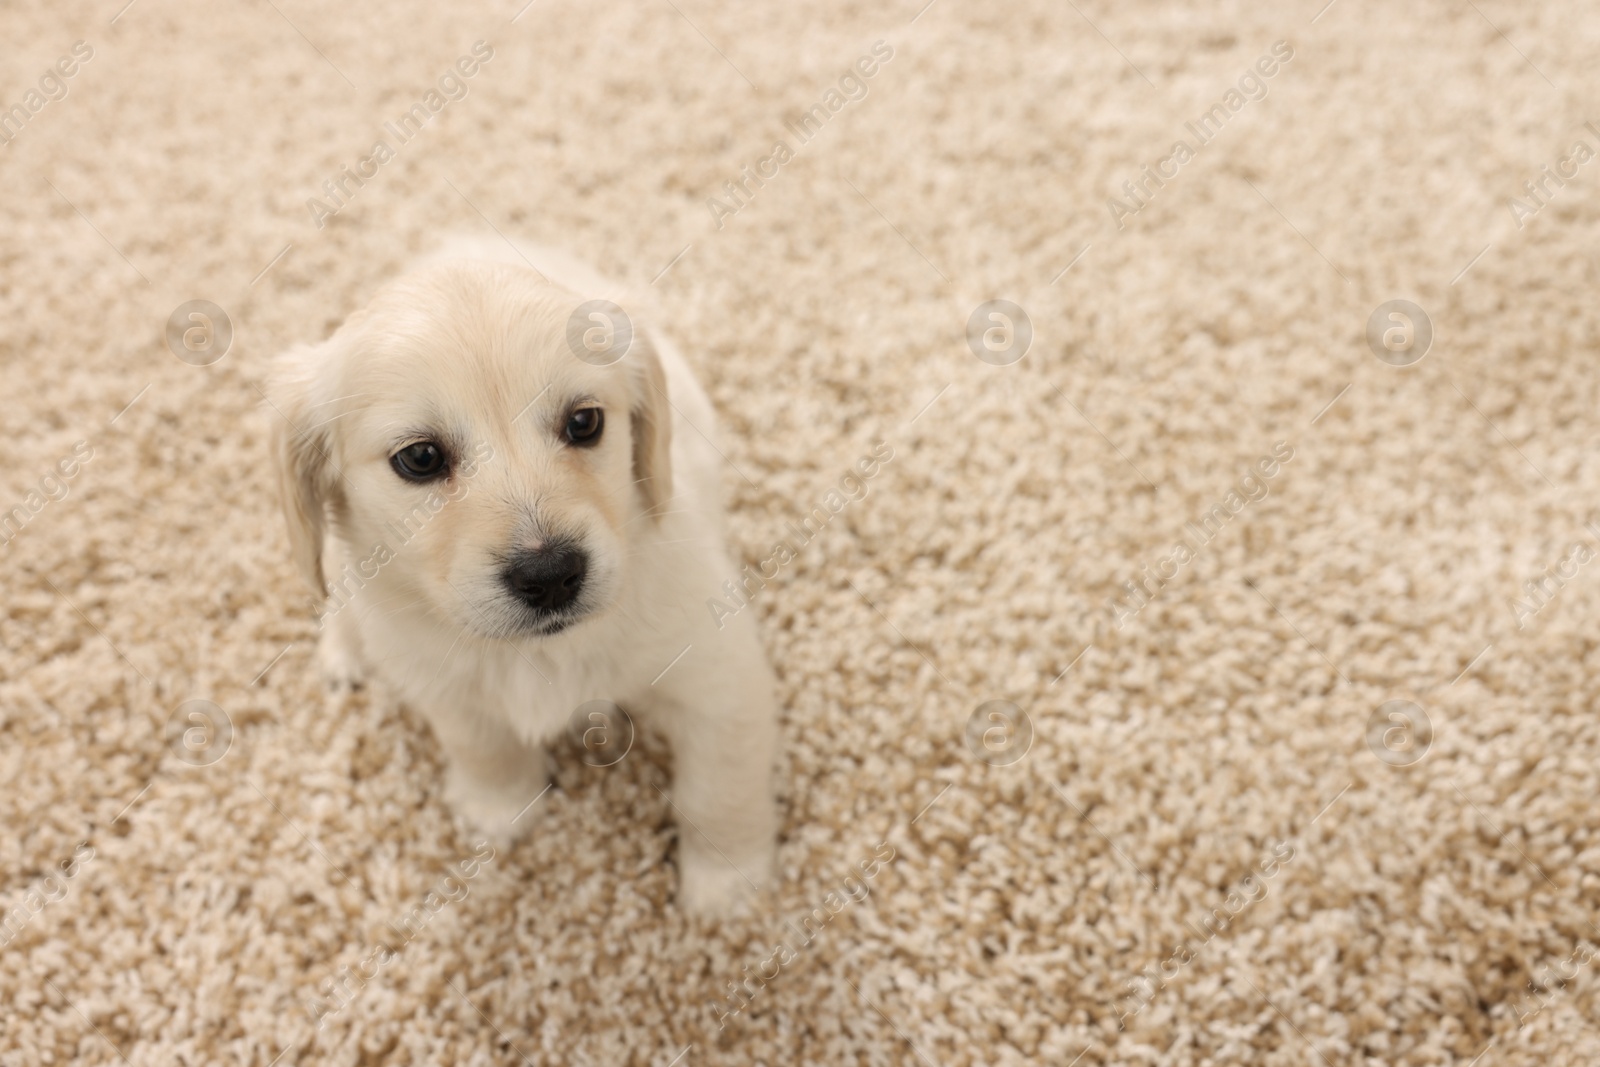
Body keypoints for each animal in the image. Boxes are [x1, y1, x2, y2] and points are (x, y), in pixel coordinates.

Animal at [268, 241, 780, 921]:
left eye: (585, 422)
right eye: (420, 458)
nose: (551, 575)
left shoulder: (718, 678)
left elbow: (720, 791)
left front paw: (726, 888)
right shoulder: (443, 684)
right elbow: (483, 745)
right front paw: (499, 809)